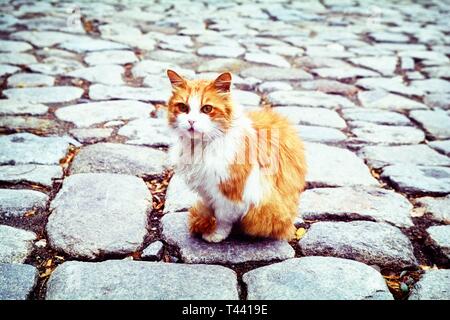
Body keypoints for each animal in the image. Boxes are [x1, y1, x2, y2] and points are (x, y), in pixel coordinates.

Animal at [167, 69, 308, 241]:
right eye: (183, 107)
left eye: (207, 109)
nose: (191, 121)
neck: (200, 147)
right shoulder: (206, 190)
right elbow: (209, 208)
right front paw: (205, 221)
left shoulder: (229, 194)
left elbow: (223, 219)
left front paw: (215, 234)